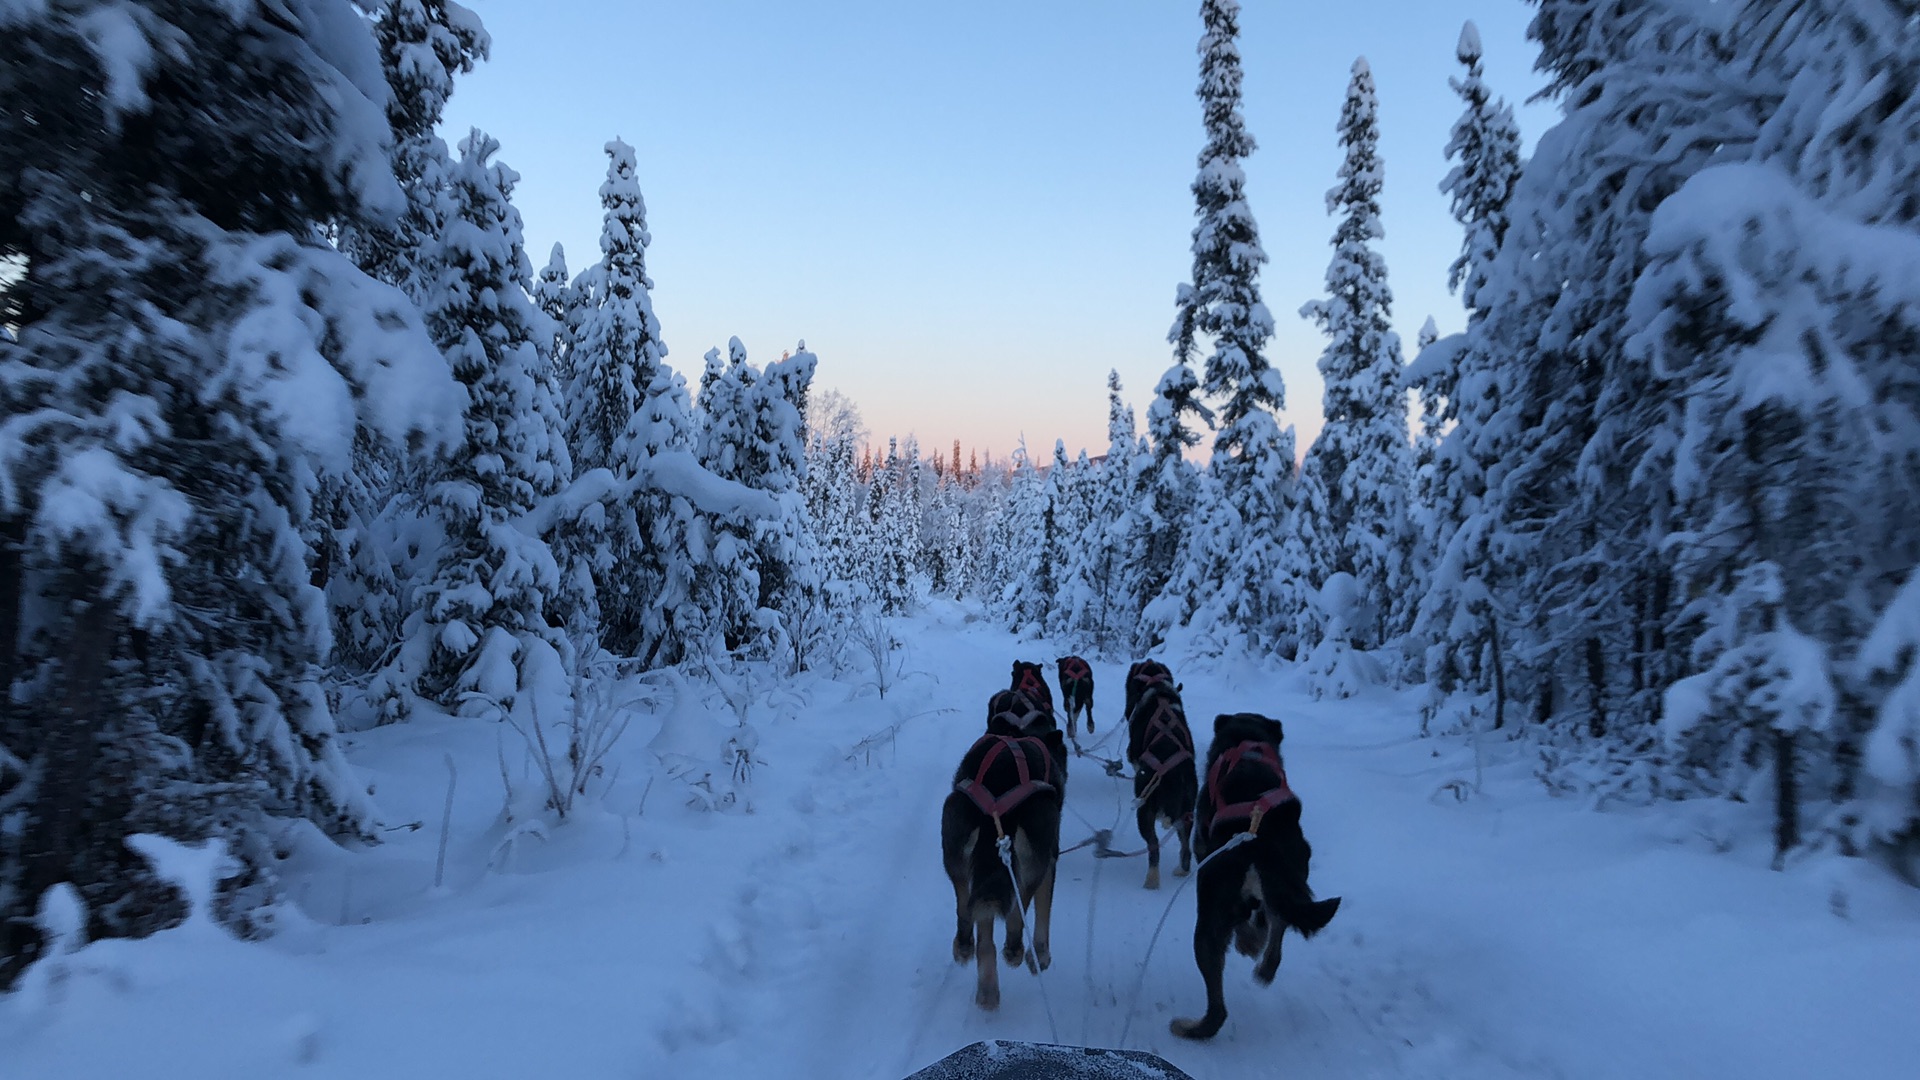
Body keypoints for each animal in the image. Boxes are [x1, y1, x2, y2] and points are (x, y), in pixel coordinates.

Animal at [940, 687, 1067, 1006]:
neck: (1020, 732)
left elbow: (985, 937)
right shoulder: (1051, 858)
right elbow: (1043, 912)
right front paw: (1040, 956)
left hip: (954, 842)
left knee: (967, 907)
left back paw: (970, 958)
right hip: (1036, 852)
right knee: (1019, 905)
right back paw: (1014, 949)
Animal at [1121, 676, 1190, 887]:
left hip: (1145, 812)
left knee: (1153, 847)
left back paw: (1151, 880)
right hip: (1187, 813)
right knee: (1186, 848)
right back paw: (1182, 871)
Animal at [1159, 707, 1344, 1037]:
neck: (1249, 746)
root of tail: (1261, 840)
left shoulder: (1202, 844)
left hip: (1210, 916)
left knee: (1218, 1008)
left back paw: (1191, 1027)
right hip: (1291, 879)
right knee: (1278, 921)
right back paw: (1265, 964)